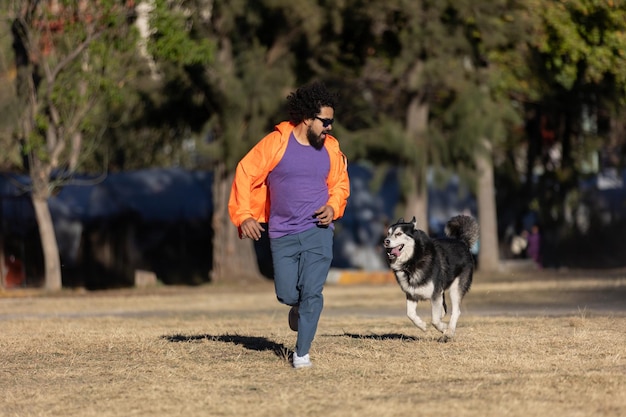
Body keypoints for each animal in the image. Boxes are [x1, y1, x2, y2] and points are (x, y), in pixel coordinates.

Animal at [380, 214, 478, 342]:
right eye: (388, 233)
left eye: (399, 234)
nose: (385, 241)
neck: (413, 260)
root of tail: (462, 241)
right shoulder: (412, 294)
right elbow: (410, 314)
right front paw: (422, 325)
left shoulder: (435, 294)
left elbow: (435, 320)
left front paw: (444, 328)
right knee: (444, 309)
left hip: (455, 288)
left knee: (456, 311)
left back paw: (449, 332)